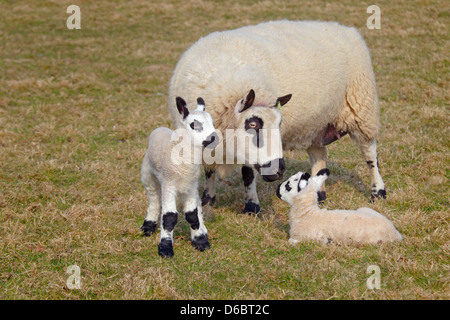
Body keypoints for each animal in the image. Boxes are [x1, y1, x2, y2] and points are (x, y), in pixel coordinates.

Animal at [141, 95, 218, 258]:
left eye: (212, 122)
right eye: (194, 125)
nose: (214, 138)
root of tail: (161, 128)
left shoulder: (190, 187)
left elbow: (192, 215)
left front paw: (200, 241)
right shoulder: (169, 185)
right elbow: (169, 217)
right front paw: (165, 249)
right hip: (148, 176)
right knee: (154, 200)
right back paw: (148, 226)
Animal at [169, 20, 386, 215]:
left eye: (280, 124)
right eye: (252, 124)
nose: (279, 170)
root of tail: (346, 29)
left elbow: (247, 174)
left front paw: (251, 207)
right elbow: (209, 169)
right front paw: (207, 200)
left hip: (362, 108)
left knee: (370, 154)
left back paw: (378, 192)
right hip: (315, 124)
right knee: (318, 156)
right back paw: (318, 193)